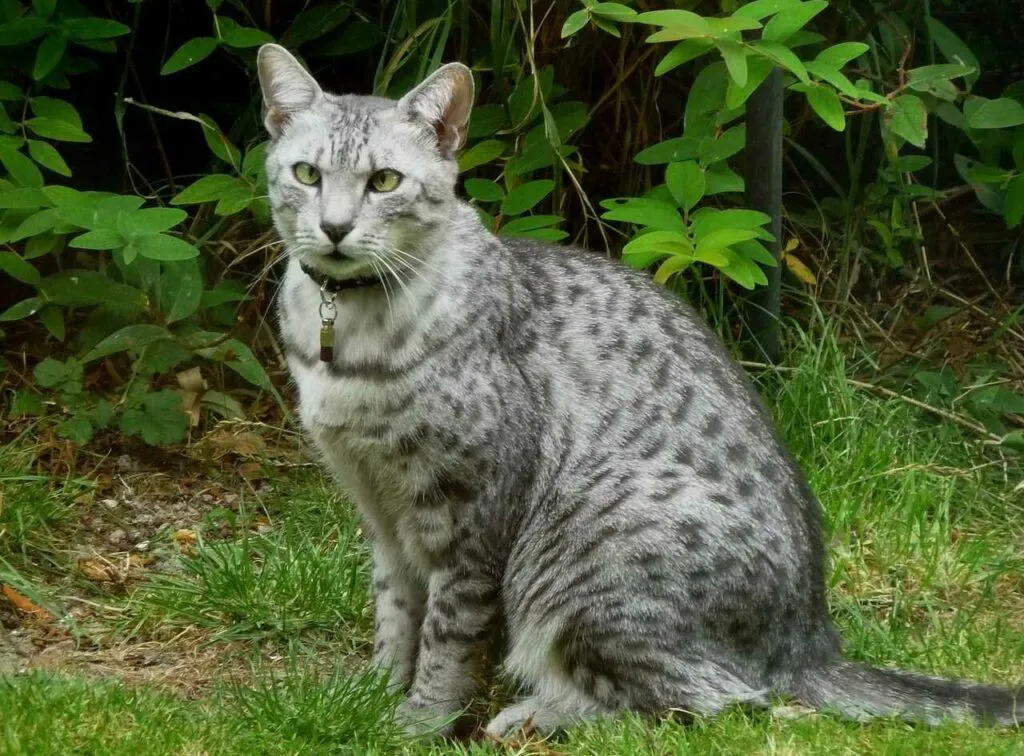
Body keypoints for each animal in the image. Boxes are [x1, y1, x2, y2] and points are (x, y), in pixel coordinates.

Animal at [258, 41, 1024, 737]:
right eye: (306, 174)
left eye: (385, 181)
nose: (334, 227)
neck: (347, 339)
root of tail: (810, 640)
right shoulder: (381, 512)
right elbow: (395, 612)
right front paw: (374, 692)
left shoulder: (469, 511)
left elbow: (449, 631)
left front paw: (421, 720)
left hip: (590, 551)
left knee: (709, 701)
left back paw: (540, 713)